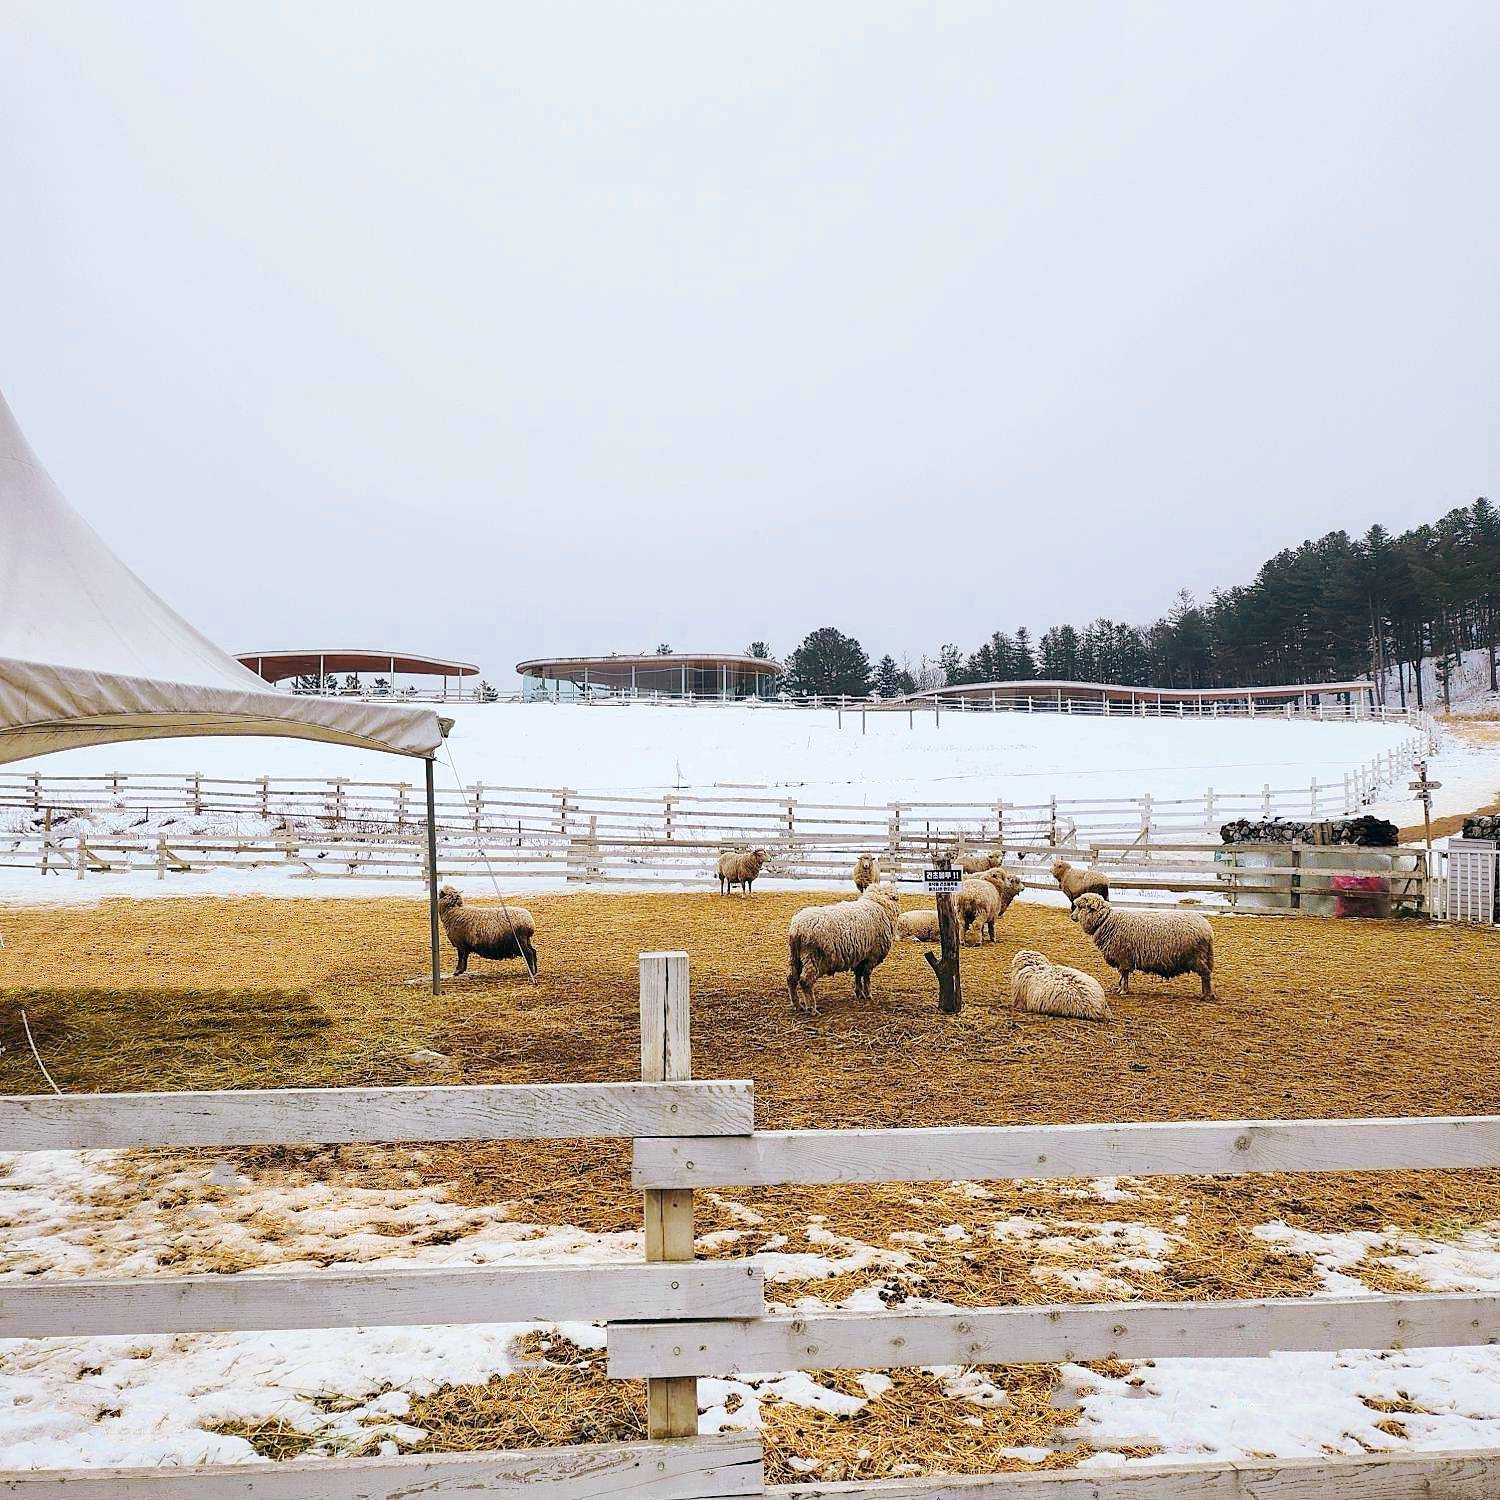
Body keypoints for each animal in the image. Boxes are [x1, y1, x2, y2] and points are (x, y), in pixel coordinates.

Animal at [786, 882, 900, 1014]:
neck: (879, 905)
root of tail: (797, 928)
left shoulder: (860, 957)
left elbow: (858, 975)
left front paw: (859, 993)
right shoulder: (872, 956)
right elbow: (866, 977)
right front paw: (868, 995)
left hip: (795, 956)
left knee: (791, 978)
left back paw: (797, 1005)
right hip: (813, 956)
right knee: (806, 981)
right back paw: (812, 1008)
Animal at [1068, 894, 1218, 1002]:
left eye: (1081, 907)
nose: (1072, 916)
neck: (1106, 921)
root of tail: (1207, 928)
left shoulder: (1123, 956)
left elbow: (1124, 974)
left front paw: (1123, 991)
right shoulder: (1124, 958)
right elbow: (1122, 975)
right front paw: (1120, 988)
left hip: (1197, 957)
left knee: (1205, 975)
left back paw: (1206, 995)